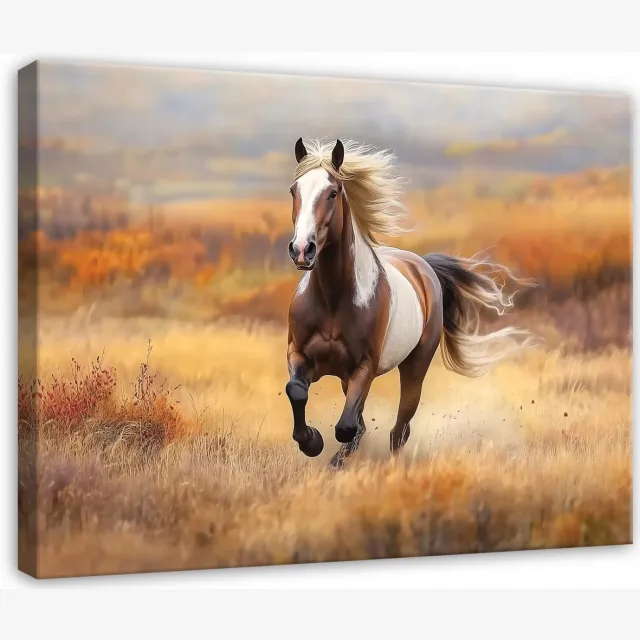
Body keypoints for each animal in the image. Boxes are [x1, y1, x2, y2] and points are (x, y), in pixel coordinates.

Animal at [285, 137, 535, 468]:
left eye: (333, 192)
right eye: (294, 190)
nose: (303, 250)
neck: (332, 300)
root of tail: (423, 266)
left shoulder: (365, 366)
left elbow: (348, 426)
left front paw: (321, 447)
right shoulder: (300, 354)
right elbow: (297, 392)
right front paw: (311, 442)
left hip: (415, 367)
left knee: (399, 428)